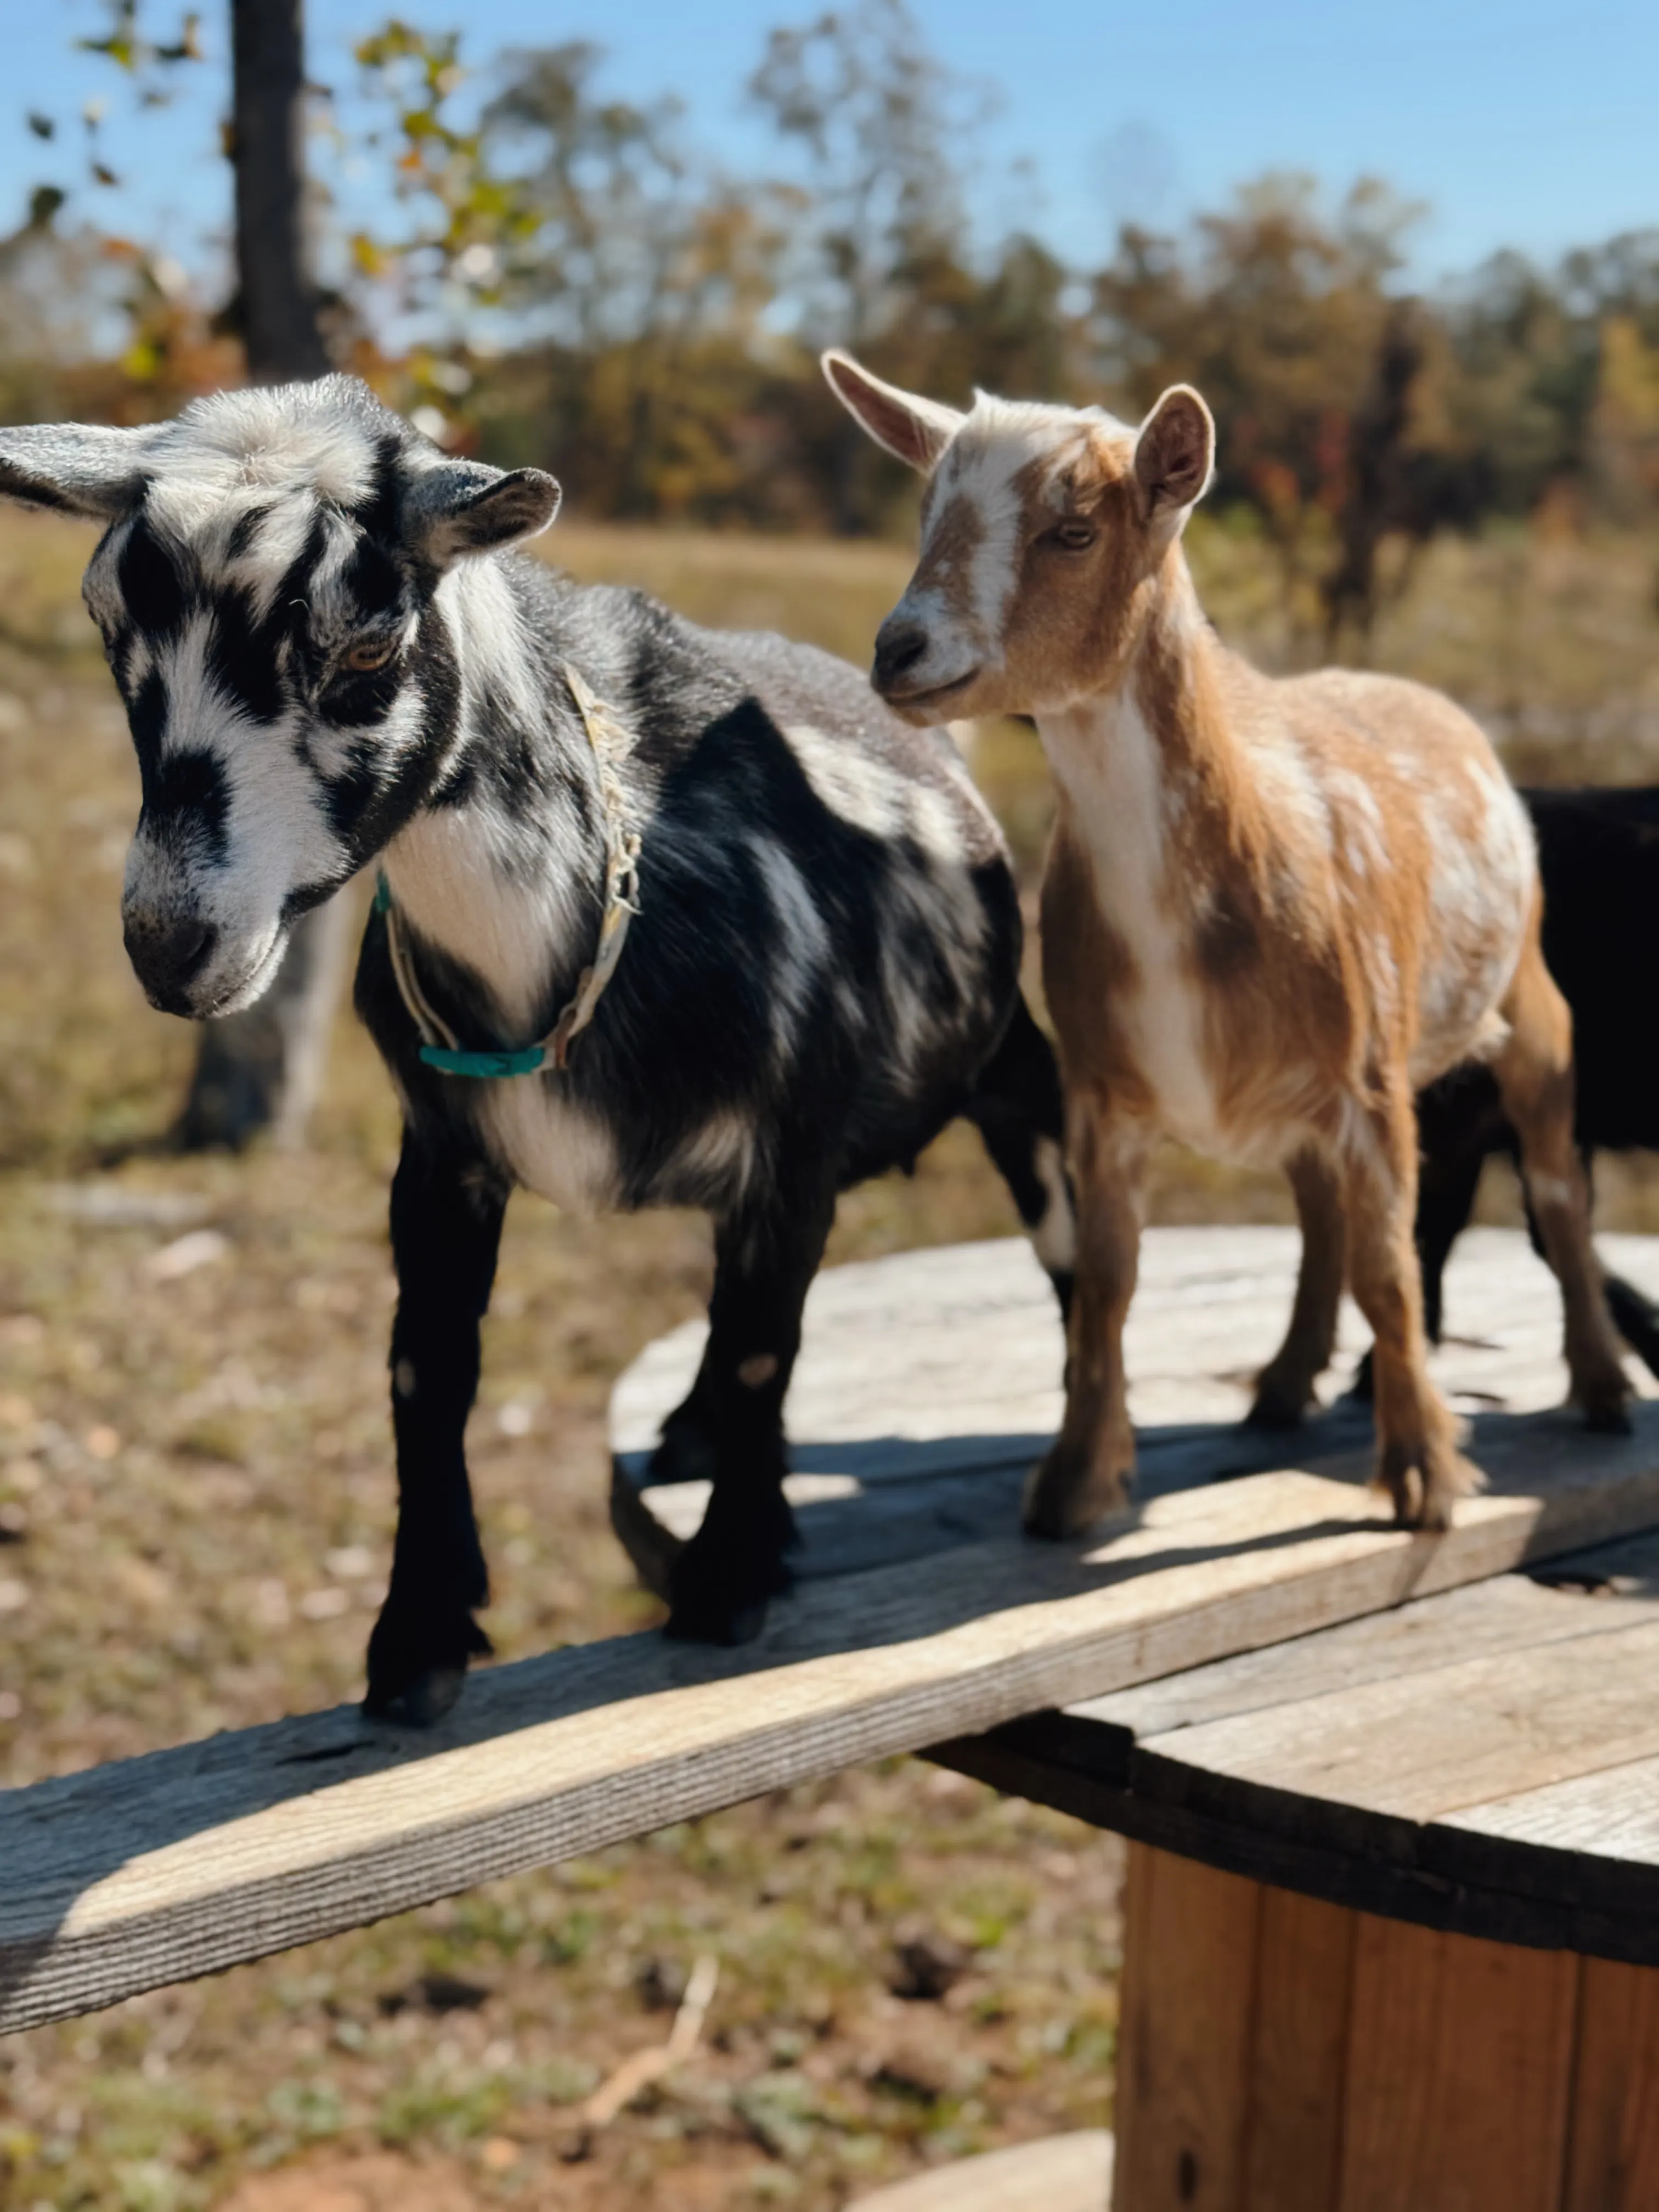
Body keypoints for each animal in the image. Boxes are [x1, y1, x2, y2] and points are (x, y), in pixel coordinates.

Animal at [0, 375, 1075, 1722]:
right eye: (109, 628)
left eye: (367, 646)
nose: (171, 943)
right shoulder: (441, 1153)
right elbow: (428, 1375)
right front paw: (418, 1638)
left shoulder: (795, 1149)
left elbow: (768, 1347)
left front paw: (728, 1580)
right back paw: (692, 1433)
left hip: (1018, 1077)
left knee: (1059, 1256)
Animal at [823, 350, 1630, 1537]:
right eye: (926, 512)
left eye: (1074, 529)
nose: (899, 651)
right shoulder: (1101, 1094)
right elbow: (1108, 1284)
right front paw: (1074, 1485)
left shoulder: (1369, 1079)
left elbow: (1391, 1270)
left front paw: (1424, 1478)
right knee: (1315, 1218)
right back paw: (1285, 1384)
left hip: (1529, 1003)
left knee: (1557, 1187)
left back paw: (1604, 1388)